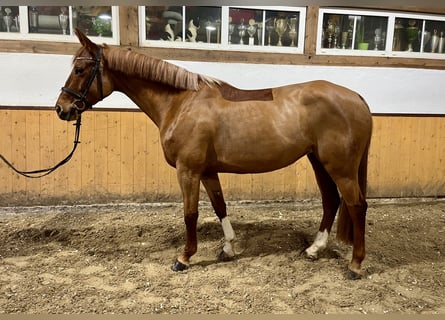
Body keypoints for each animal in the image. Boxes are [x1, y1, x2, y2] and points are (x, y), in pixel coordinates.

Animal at [57, 30, 372, 280]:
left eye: (80, 70)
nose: (62, 108)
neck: (181, 103)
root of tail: (356, 97)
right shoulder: (207, 171)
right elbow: (220, 206)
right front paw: (228, 248)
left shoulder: (187, 170)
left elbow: (190, 214)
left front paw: (184, 258)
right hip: (318, 161)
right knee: (331, 200)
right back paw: (314, 249)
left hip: (341, 168)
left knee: (357, 206)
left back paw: (355, 265)